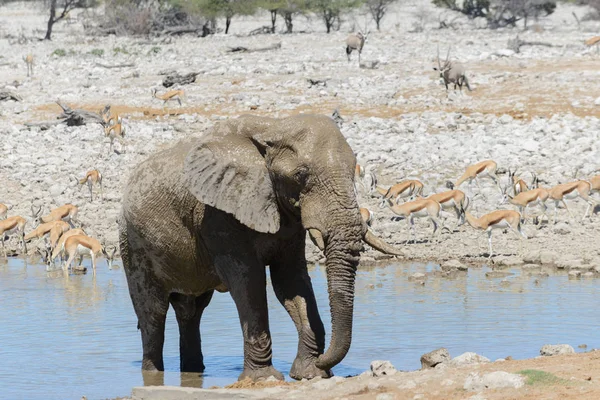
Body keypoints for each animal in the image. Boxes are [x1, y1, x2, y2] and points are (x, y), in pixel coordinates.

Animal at [118, 114, 404, 382]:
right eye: (300, 175)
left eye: (353, 171)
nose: (325, 362)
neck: (273, 127)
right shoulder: (218, 213)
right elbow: (248, 280)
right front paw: (264, 378)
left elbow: (290, 281)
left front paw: (309, 373)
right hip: (132, 244)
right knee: (153, 313)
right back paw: (153, 375)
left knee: (191, 310)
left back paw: (193, 373)